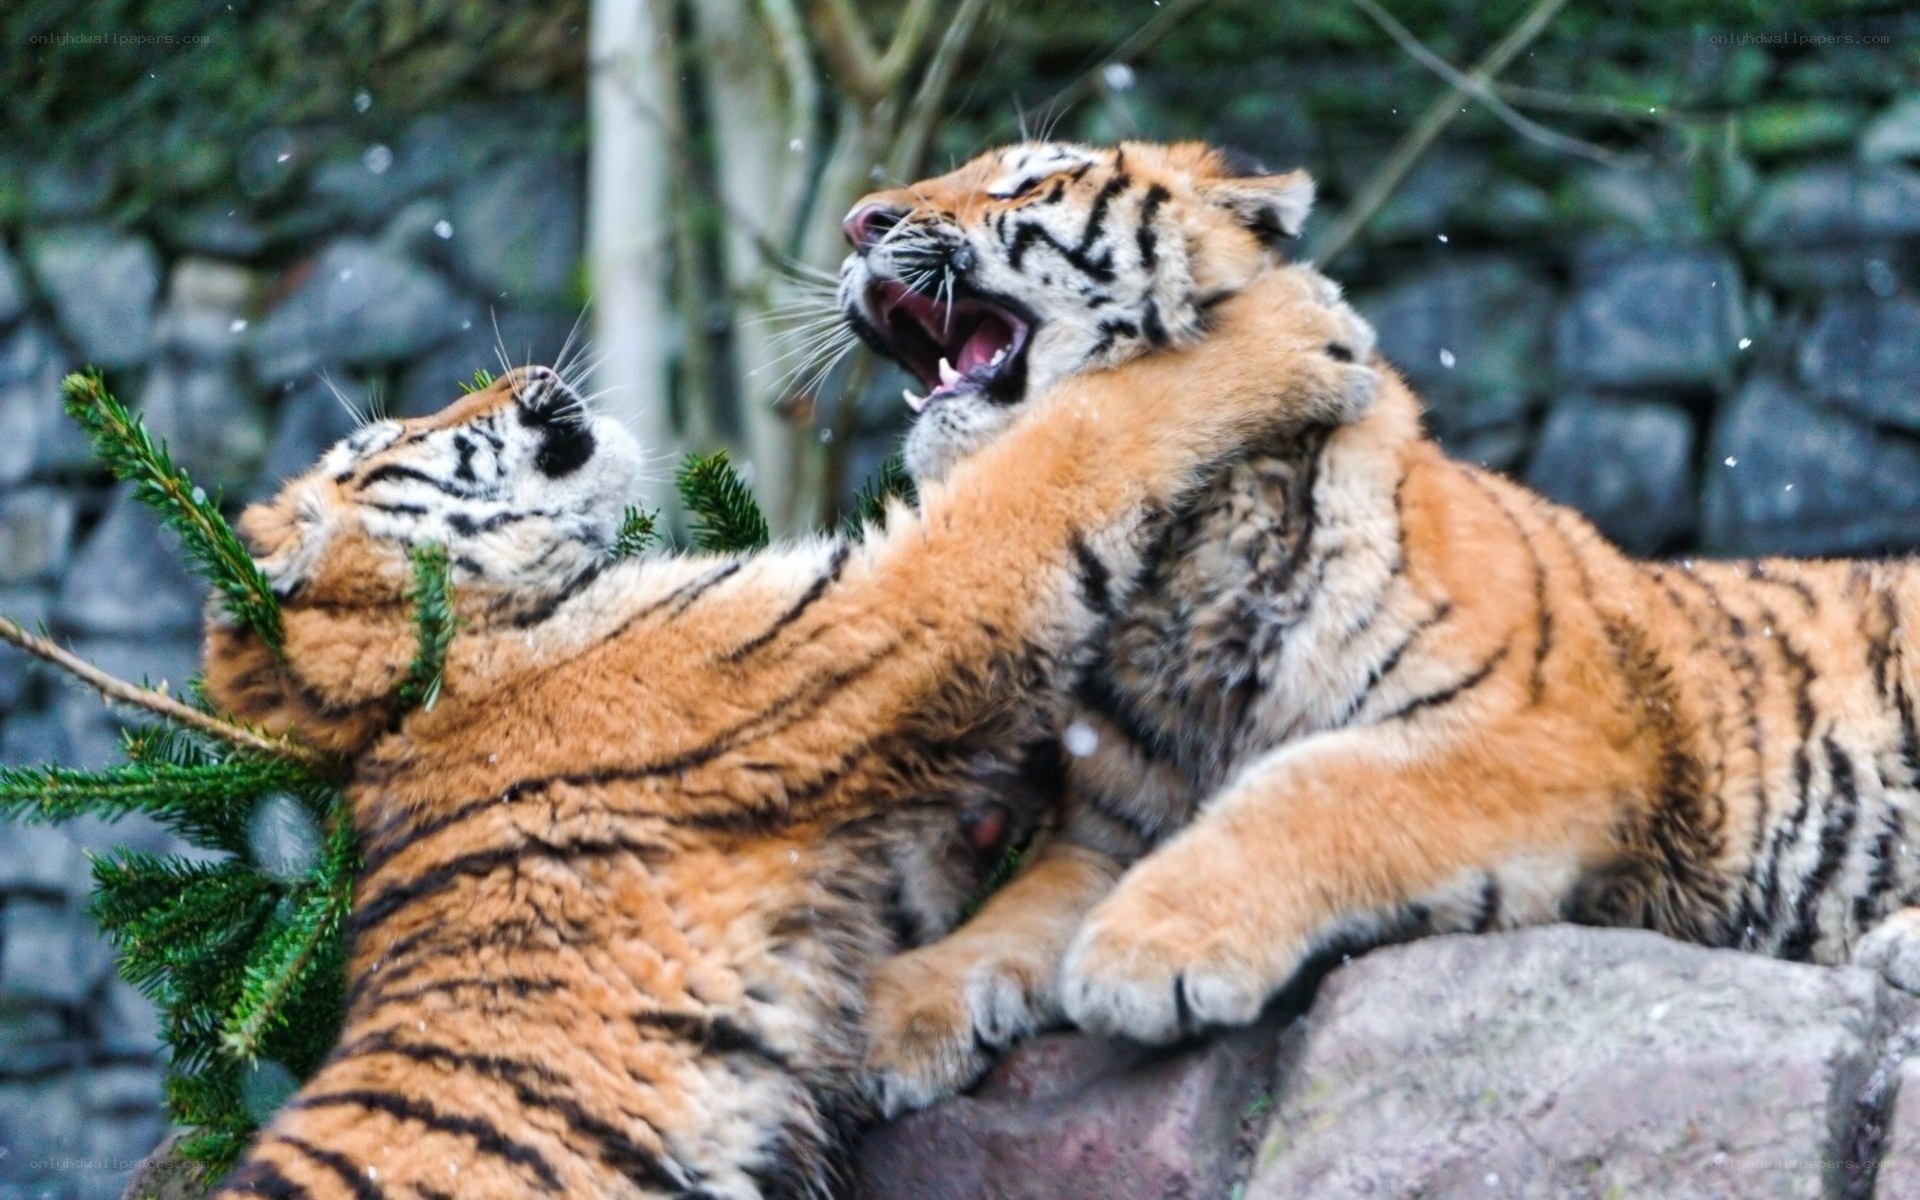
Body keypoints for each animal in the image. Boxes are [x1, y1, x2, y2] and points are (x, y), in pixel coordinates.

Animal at [195, 270, 1381, 1197]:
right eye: (398, 436)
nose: (523, 368)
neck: (436, 662)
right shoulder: (879, 616)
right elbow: (1072, 444)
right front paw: (1288, 322)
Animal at [840, 138, 1920, 1116]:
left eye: (1026, 181)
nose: (859, 223)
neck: (1175, 573)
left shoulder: (1539, 738)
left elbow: (1313, 790)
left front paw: (1149, 951)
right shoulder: (1108, 833)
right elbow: (1012, 913)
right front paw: (895, 1020)